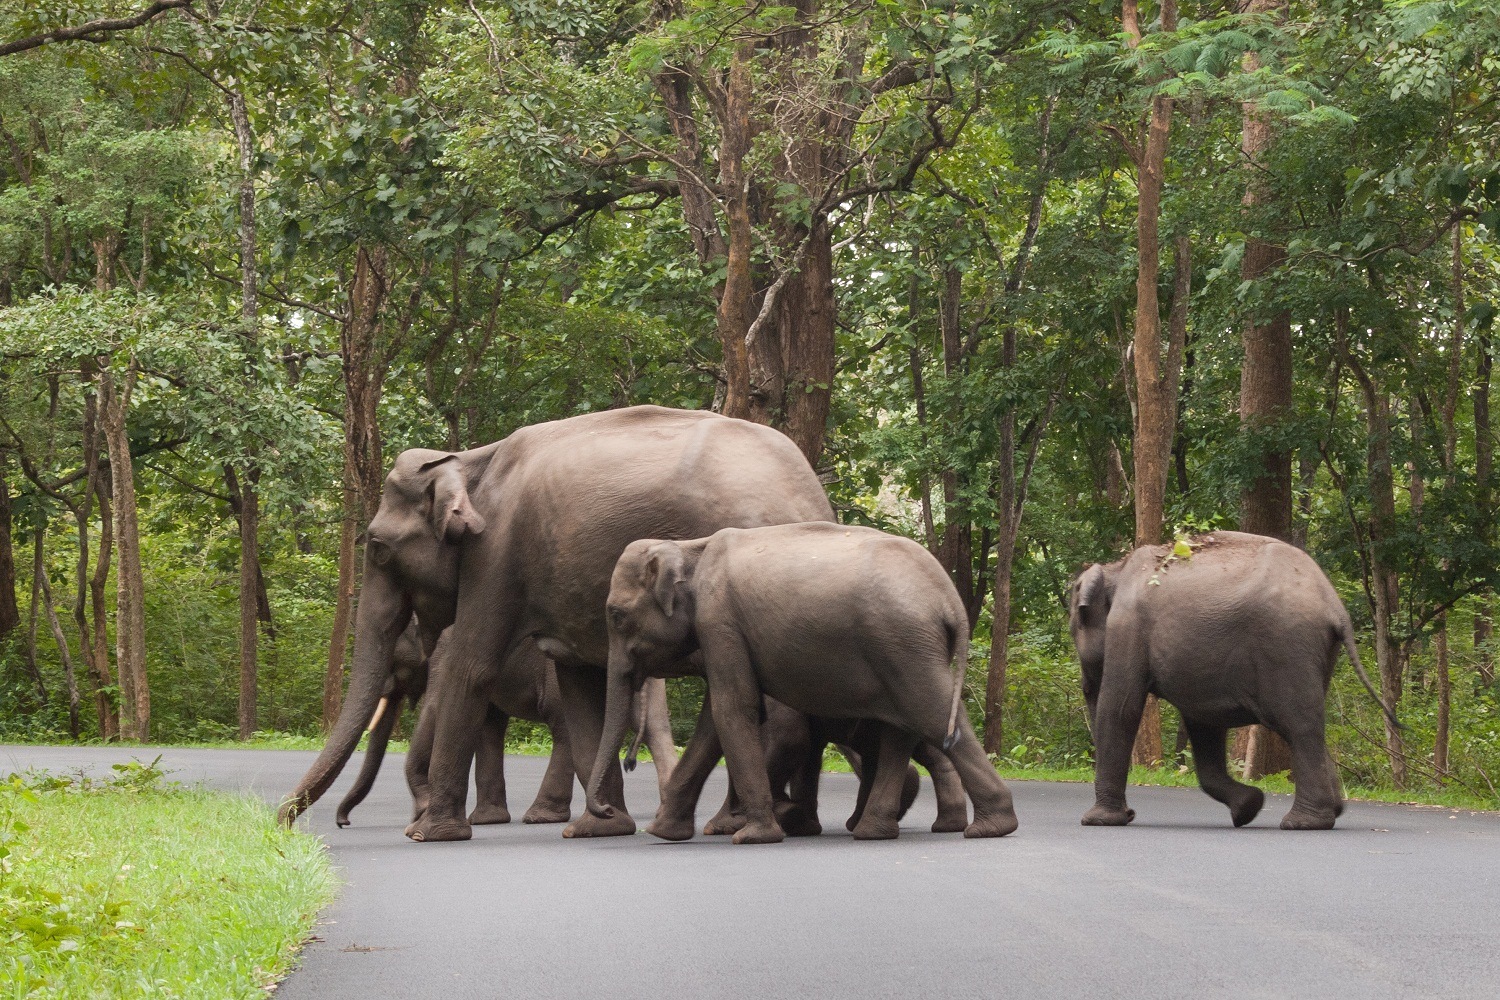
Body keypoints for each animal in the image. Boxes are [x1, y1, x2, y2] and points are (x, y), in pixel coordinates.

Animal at [282, 401, 840, 839]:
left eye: (377, 548)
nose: (286, 823)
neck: (469, 461)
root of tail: (813, 495)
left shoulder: (497, 553)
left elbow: (470, 668)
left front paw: (427, 833)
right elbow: (578, 678)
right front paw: (601, 826)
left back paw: (737, 824)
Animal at [585, 524, 1020, 845]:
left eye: (616, 615)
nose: (605, 809)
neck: (689, 547)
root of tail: (951, 600)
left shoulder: (719, 619)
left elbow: (733, 708)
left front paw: (752, 837)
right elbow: (716, 719)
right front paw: (664, 833)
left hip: (903, 644)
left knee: (928, 714)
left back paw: (986, 828)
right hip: (905, 651)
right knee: (912, 725)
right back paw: (879, 831)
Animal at [1068, 530, 1392, 827]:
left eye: (1074, 629)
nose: (1131, 813)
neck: (1117, 568)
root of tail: (1335, 608)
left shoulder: (1127, 625)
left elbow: (1121, 708)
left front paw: (1097, 820)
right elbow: (1203, 722)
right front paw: (1247, 808)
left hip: (1285, 645)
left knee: (1298, 724)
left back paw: (1303, 823)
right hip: (1316, 651)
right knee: (1307, 719)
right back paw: (1330, 812)